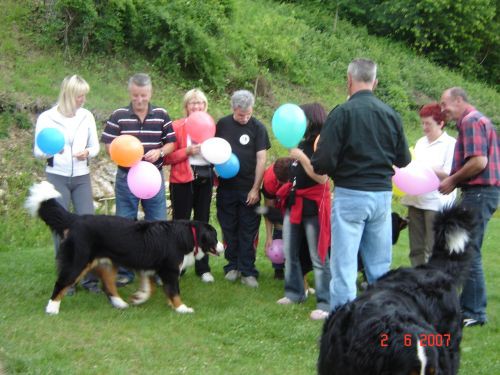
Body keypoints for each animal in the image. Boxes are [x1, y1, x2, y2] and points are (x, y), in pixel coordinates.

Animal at [25, 181, 223, 316]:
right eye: (215, 237)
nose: (223, 245)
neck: (188, 234)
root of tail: (76, 219)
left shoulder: (149, 267)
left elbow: (150, 288)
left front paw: (139, 297)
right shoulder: (169, 270)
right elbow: (174, 291)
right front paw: (181, 307)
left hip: (107, 262)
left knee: (108, 285)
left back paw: (120, 303)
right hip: (78, 261)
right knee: (62, 282)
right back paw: (52, 308)